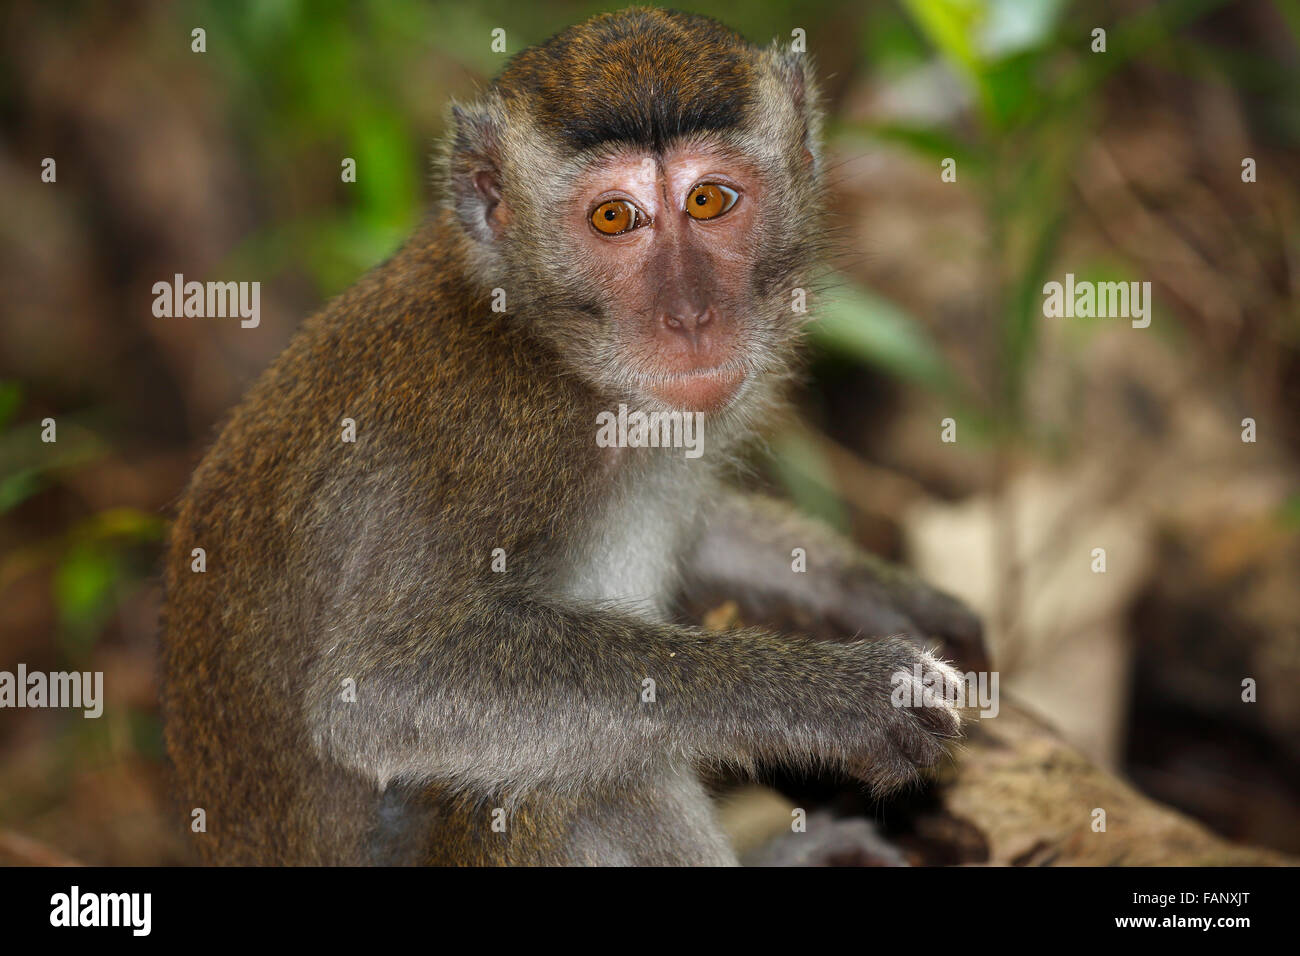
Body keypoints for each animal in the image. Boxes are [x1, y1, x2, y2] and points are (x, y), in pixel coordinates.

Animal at [161, 7, 983, 866]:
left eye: (709, 200)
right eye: (614, 217)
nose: (690, 316)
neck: (548, 346)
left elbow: (706, 534)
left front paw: (873, 591)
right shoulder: (489, 444)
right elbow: (383, 685)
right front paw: (844, 695)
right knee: (566, 778)